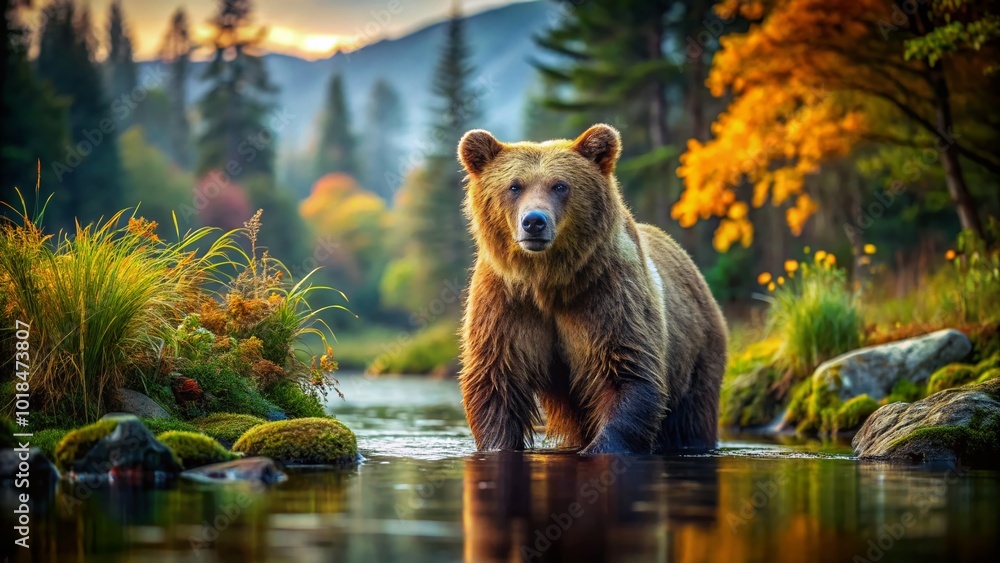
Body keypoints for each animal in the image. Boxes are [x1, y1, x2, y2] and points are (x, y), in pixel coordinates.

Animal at [456, 124, 727, 454]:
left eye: (560, 185)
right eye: (514, 186)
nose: (534, 221)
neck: (547, 280)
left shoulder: (608, 295)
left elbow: (626, 371)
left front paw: (601, 448)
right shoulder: (505, 301)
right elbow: (496, 378)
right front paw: (498, 445)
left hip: (699, 354)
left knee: (692, 416)